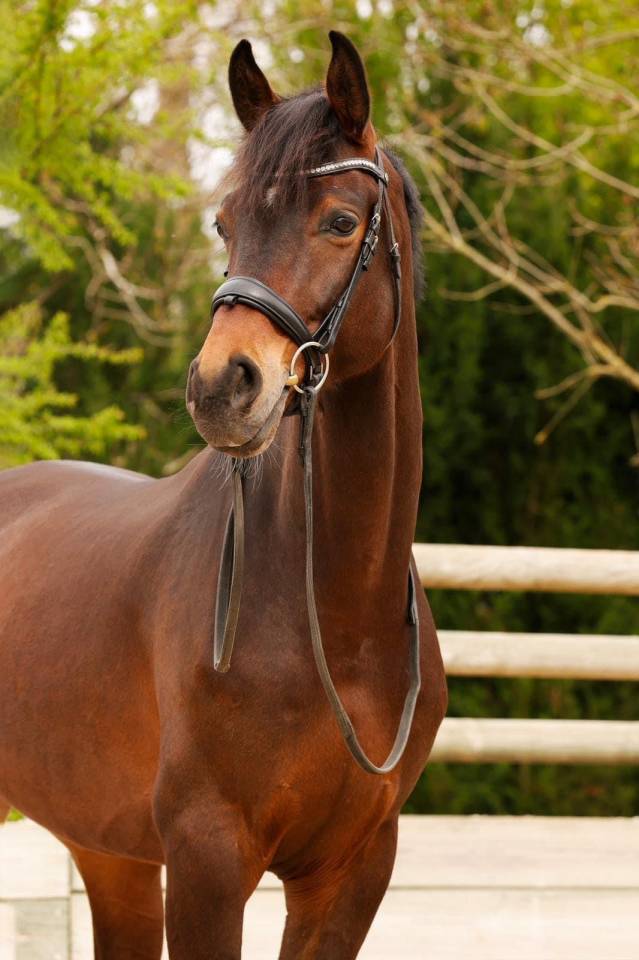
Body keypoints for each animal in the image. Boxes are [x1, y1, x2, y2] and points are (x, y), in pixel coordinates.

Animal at [0, 32, 447, 959]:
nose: (219, 388)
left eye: (340, 221)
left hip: (112, 856)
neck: (338, 618)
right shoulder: (208, 858)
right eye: (224, 222)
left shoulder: (351, 874)